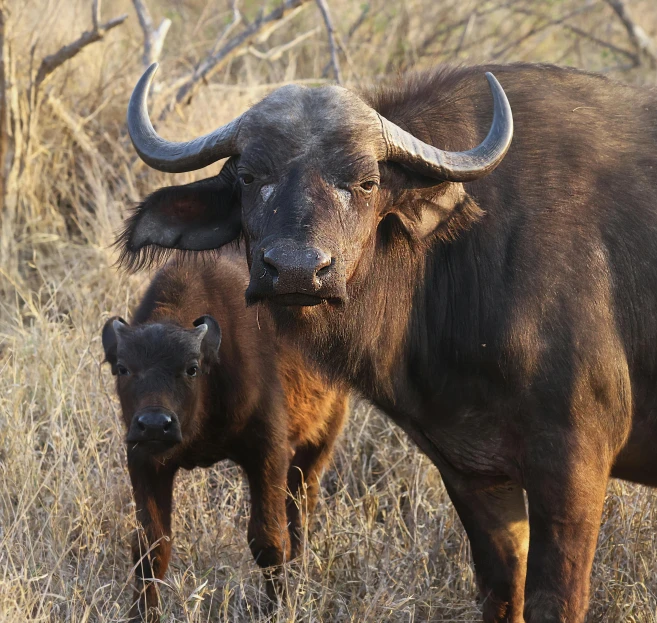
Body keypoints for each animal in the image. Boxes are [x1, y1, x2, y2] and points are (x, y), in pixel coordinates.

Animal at [101, 255, 348, 623]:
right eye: (122, 368)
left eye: (191, 368)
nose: (155, 425)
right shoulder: (145, 460)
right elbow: (150, 547)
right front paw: (141, 613)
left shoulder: (268, 451)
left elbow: (268, 540)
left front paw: (277, 607)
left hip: (322, 435)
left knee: (302, 501)